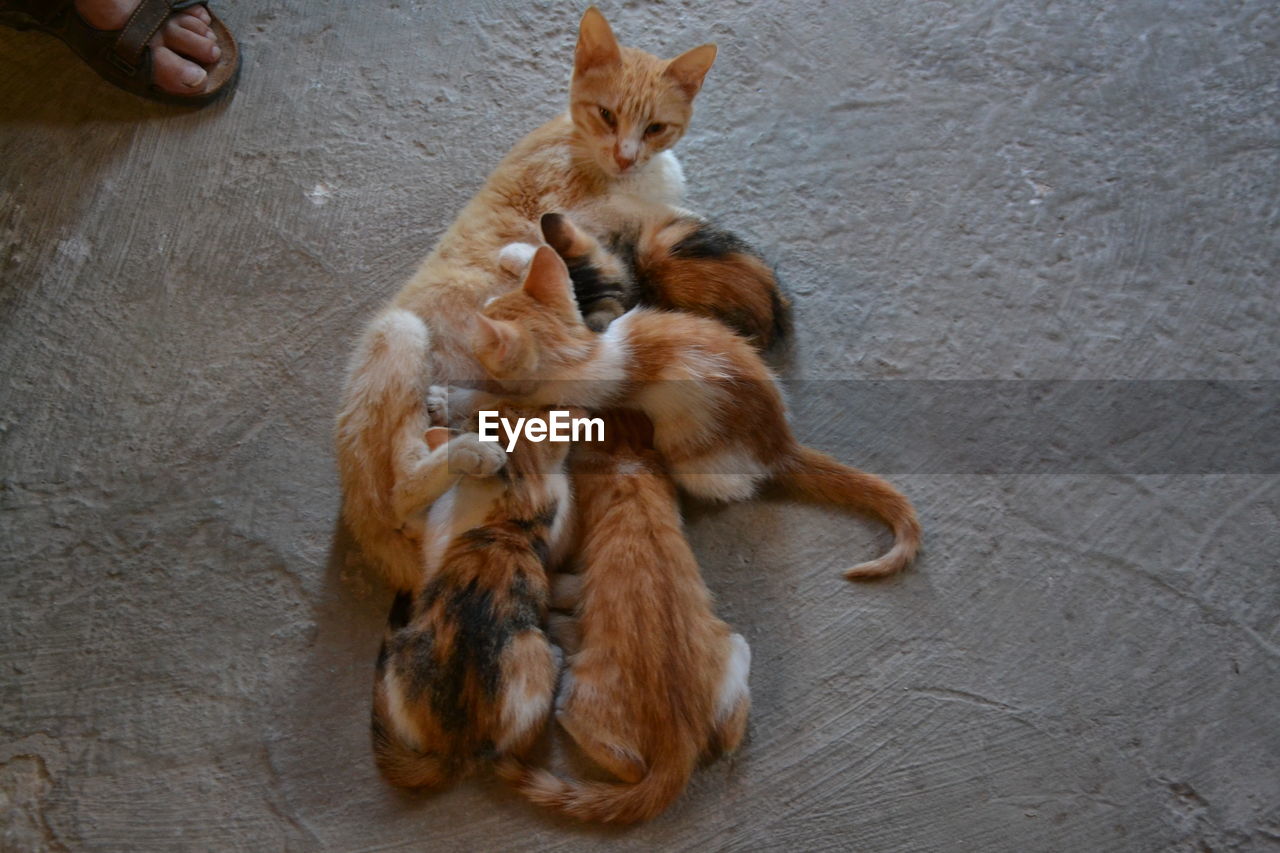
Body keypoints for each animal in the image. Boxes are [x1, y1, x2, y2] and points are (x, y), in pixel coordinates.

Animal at [337, 6, 721, 591]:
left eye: (655, 127)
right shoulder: (569, 211)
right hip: (401, 330)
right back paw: (470, 450)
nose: (625, 156)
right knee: (398, 489)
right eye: (606, 115)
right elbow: (617, 220)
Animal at [471, 245, 921, 578]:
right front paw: (520, 255)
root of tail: (780, 442)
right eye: (493, 301)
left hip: (690, 453)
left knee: (734, 486)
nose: (480, 311)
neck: (581, 349)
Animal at [499, 409, 752, 819]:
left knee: (629, 765)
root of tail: (681, 742)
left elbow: (563, 583)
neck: (625, 458)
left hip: (579, 690)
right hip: (736, 644)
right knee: (729, 738)